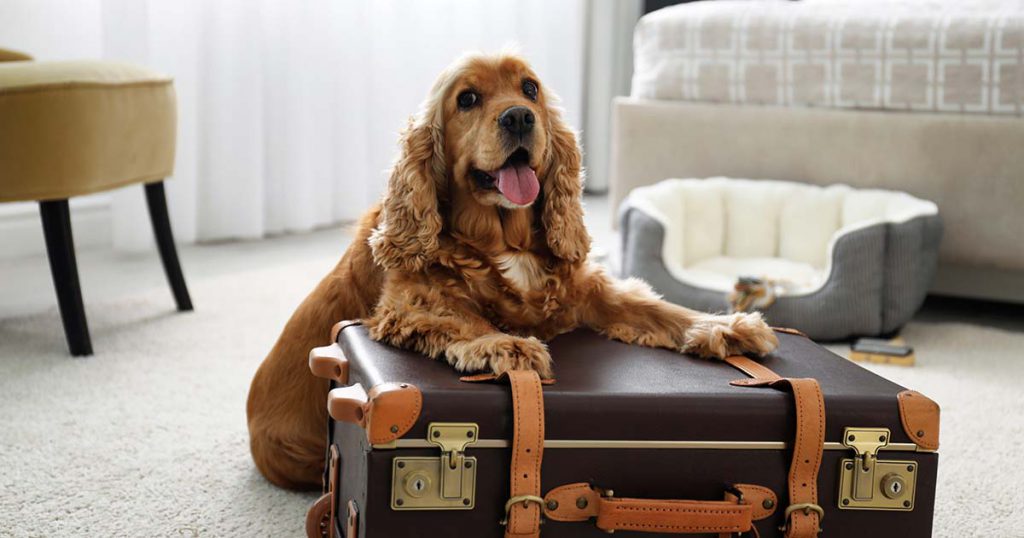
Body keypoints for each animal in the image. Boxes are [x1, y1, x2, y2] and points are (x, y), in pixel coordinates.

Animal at [247, 52, 774, 487]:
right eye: (467, 98)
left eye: (530, 89)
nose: (519, 116)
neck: (503, 240)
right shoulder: (408, 305)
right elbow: (464, 319)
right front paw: (507, 345)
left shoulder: (585, 290)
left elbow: (657, 308)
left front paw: (725, 326)